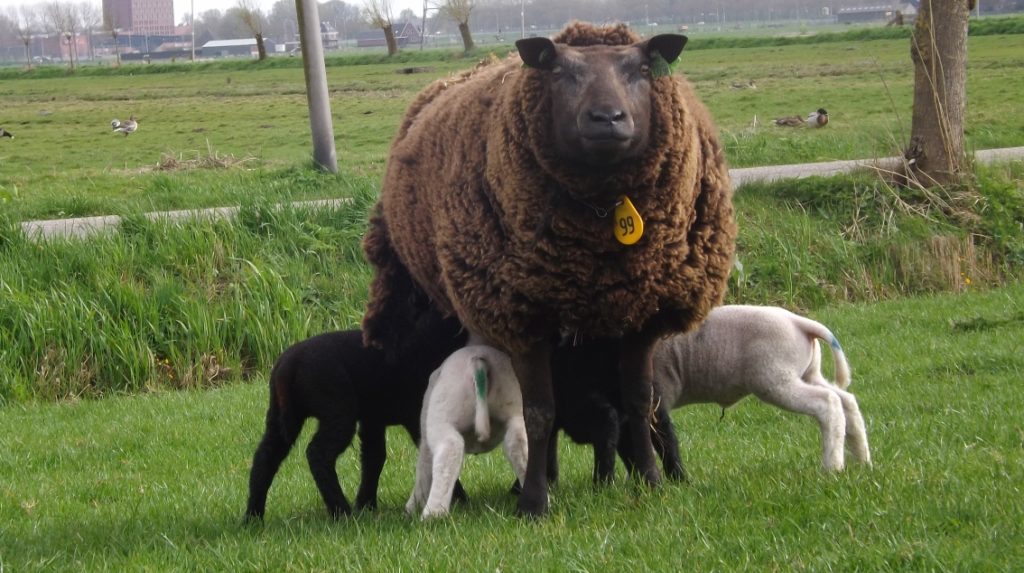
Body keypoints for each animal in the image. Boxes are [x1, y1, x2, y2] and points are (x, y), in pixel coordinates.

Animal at [405, 343, 528, 519]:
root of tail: (479, 362)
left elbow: (424, 465)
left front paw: (412, 506)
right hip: (514, 407)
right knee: (518, 445)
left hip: (443, 413)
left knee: (449, 452)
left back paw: (433, 515)